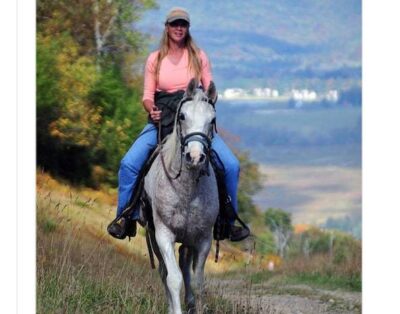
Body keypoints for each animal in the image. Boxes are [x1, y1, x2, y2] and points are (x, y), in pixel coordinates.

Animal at [144, 79, 219, 314]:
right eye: (183, 116)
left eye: (212, 120)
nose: (194, 157)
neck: (186, 191)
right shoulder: (163, 234)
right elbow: (173, 278)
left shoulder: (203, 239)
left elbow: (197, 281)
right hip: (154, 236)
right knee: (164, 271)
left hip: (188, 239)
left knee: (186, 268)